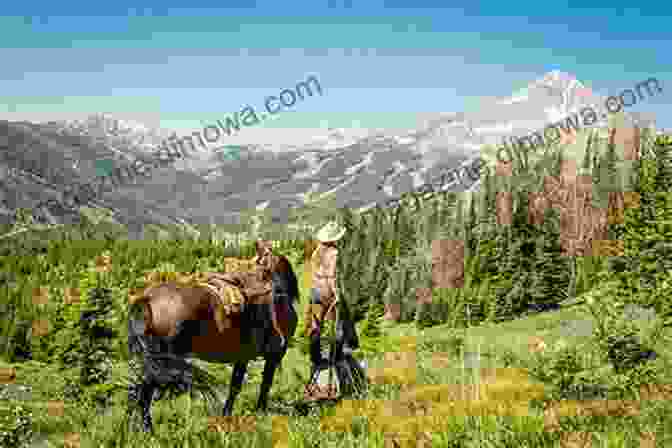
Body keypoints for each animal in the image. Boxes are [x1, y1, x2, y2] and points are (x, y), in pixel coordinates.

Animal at [128, 242, 300, 434]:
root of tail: (147, 298)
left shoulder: (243, 357)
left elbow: (235, 385)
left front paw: (226, 416)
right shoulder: (273, 355)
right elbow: (264, 384)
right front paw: (259, 413)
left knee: (141, 391)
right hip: (161, 360)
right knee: (145, 392)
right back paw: (148, 430)